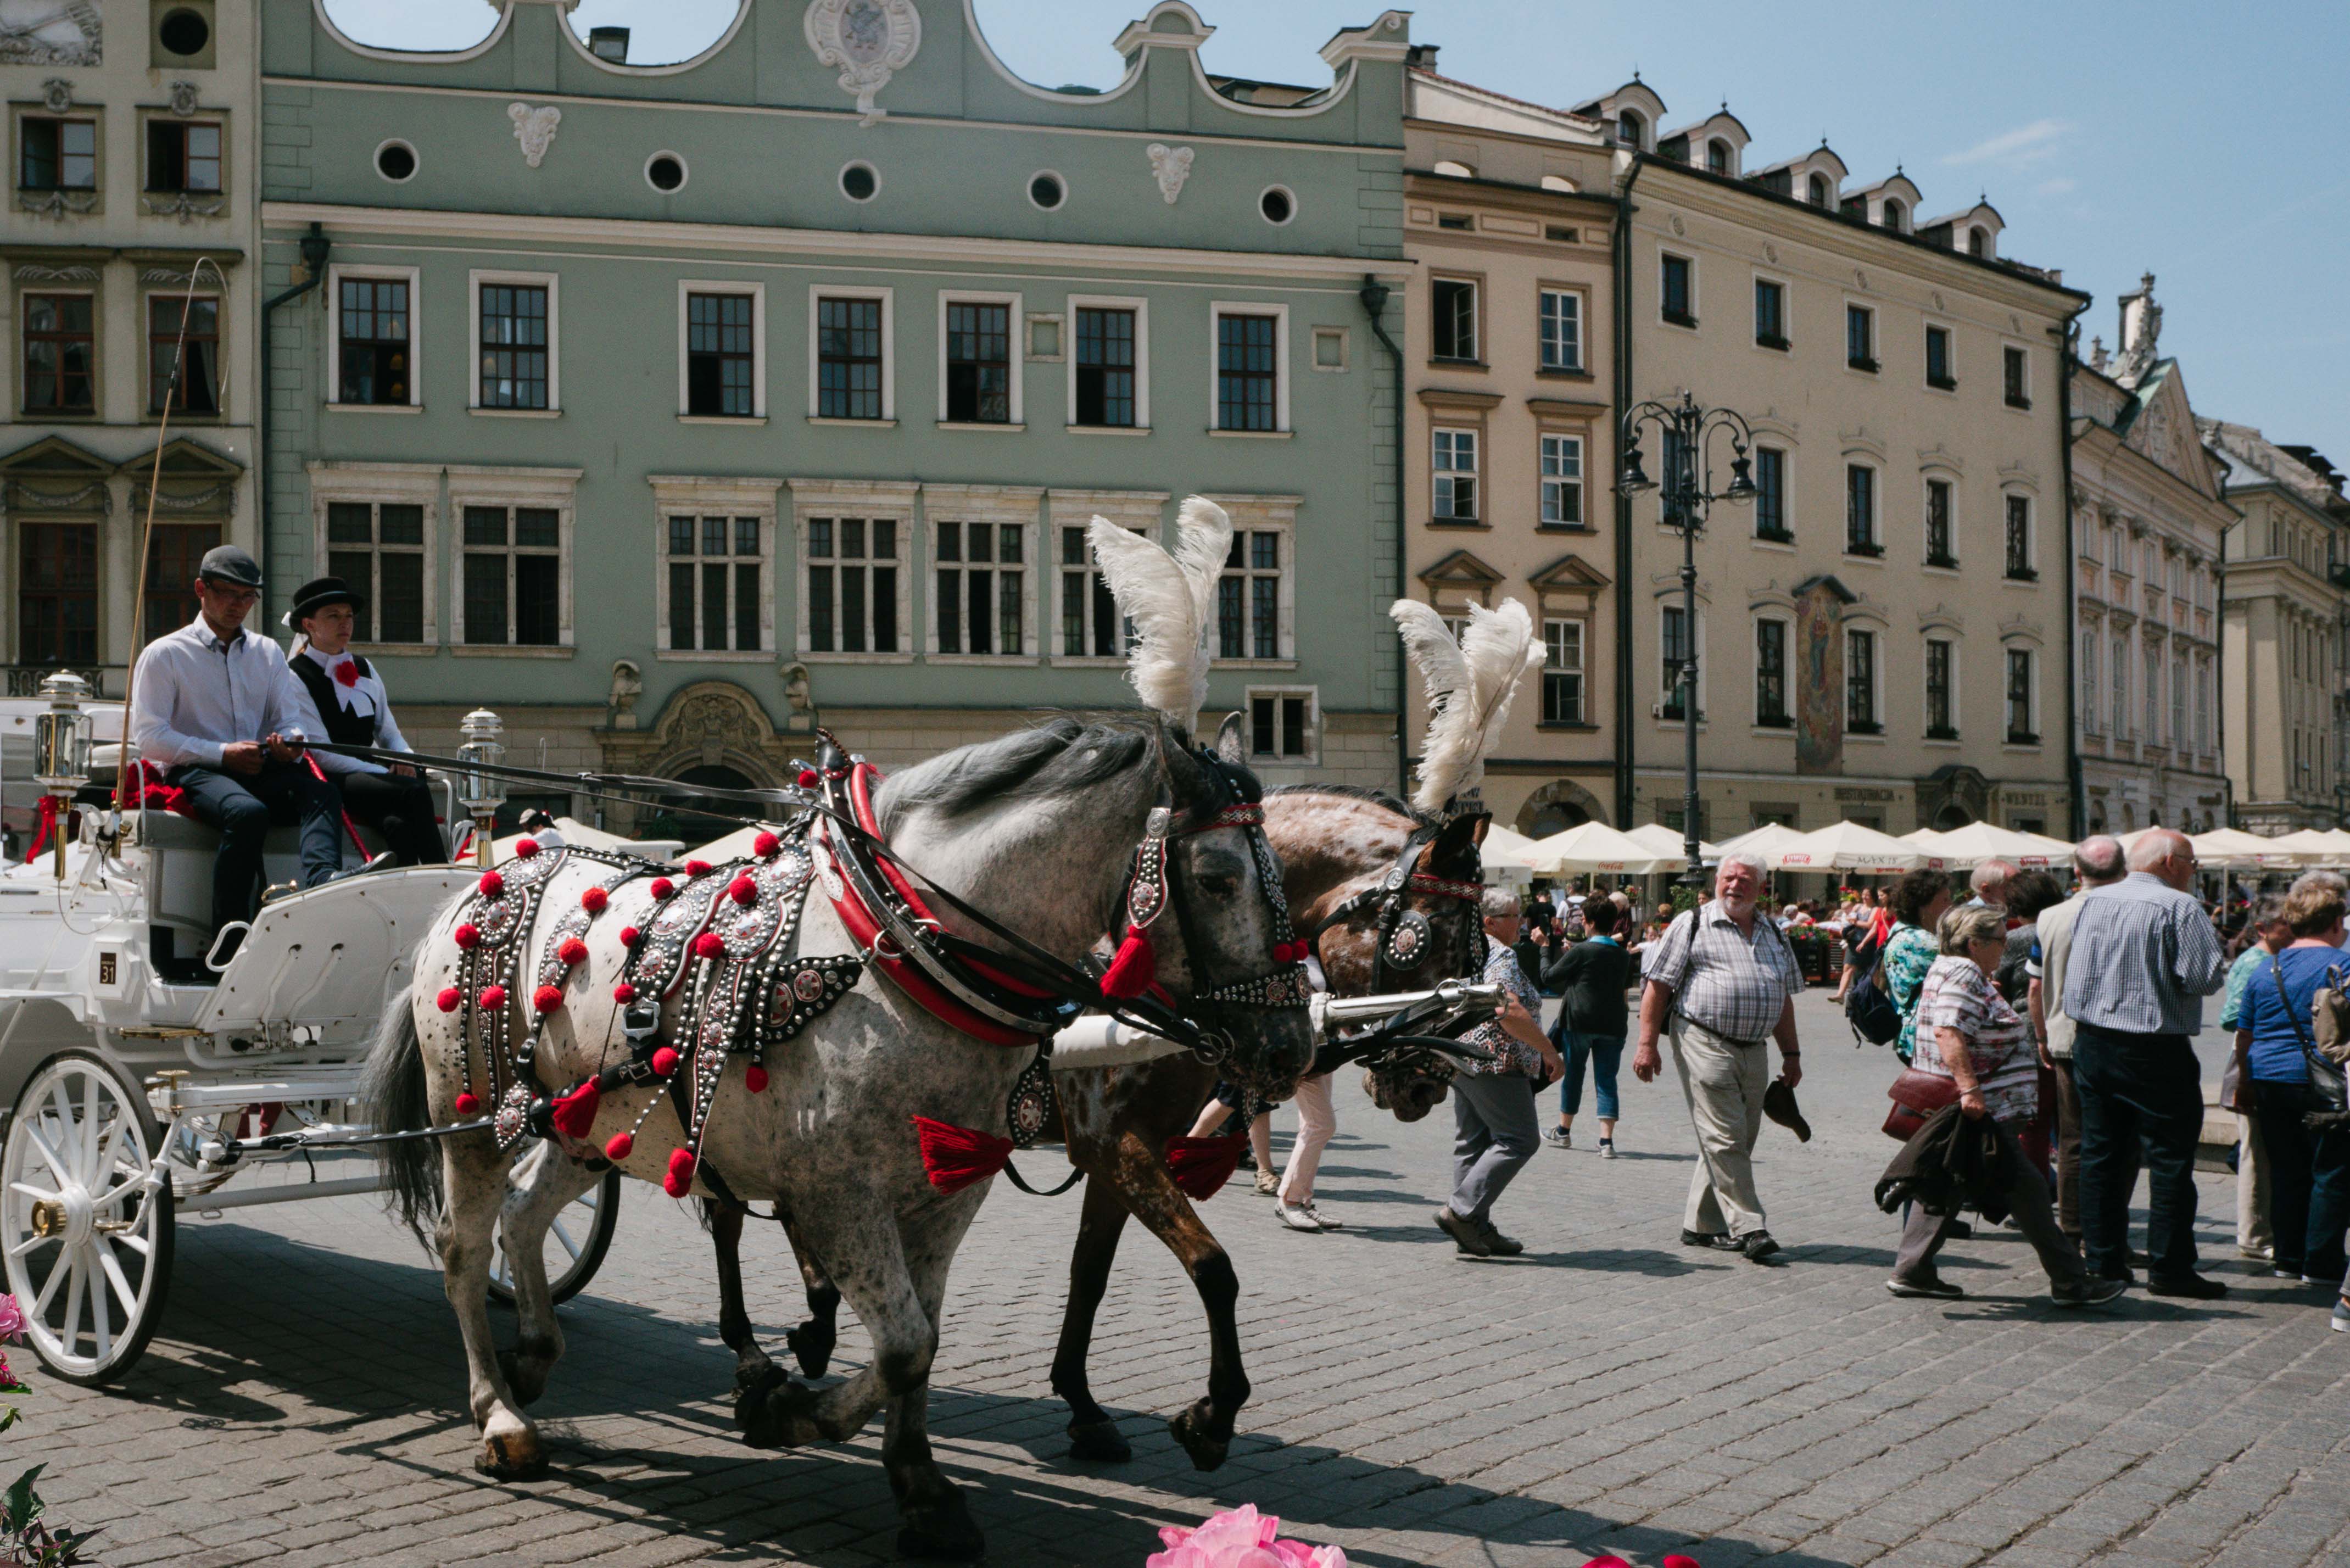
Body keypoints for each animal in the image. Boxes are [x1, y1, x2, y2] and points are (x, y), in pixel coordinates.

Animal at [369, 719, 1325, 1561]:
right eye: (1214, 877)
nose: (1290, 1047)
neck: (900, 949)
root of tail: (477, 881)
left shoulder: (947, 1192)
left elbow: (924, 1340)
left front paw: (919, 1483)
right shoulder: (837, 1196)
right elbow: (902, 1343)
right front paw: (791, 1411)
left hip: (582, 1126)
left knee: (525, 1219)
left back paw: (534, 1354)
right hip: (473, 1115)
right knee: (463, 1247)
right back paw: (500, 1413)